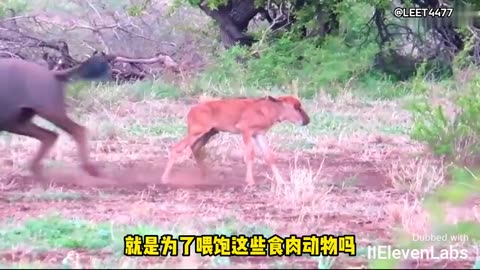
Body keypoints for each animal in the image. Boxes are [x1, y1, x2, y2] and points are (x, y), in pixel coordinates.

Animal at [0, 53, 111, 188]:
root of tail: (53, 74)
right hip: (16, 122)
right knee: (50, 135)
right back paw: (39, 176)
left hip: (49, 112)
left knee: (77, 130)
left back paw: (90, 169)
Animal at [161, 96, 312, 187]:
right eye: (296, 107)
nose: (307, 120)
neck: (266, 109)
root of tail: (191, 111)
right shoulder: (246, 132)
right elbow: (249, 155)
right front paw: (250, 181)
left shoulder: (259, 135)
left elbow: (269, 157)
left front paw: (281, 181)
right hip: (197, 133)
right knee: (177, 148)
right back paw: (165, 178)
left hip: (209, 133)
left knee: (195, 148)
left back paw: (205, 176)